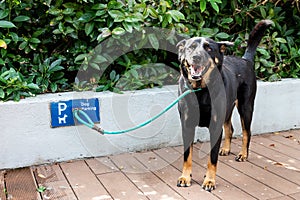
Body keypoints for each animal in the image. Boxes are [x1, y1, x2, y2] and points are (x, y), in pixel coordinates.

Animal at [176, 19, 272, 191]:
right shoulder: (187, 125)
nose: (196, 57)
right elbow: (187, 156)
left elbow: (212, 159)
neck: (201, 90)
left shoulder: (215, 126)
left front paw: (209, 181)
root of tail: (246, 60)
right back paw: (226, 149)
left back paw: (243, 154)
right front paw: (185, 177)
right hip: (228, 109)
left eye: (209, 48)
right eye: (191, 47)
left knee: (247, 132)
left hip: (245, 107)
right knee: (230, 128)